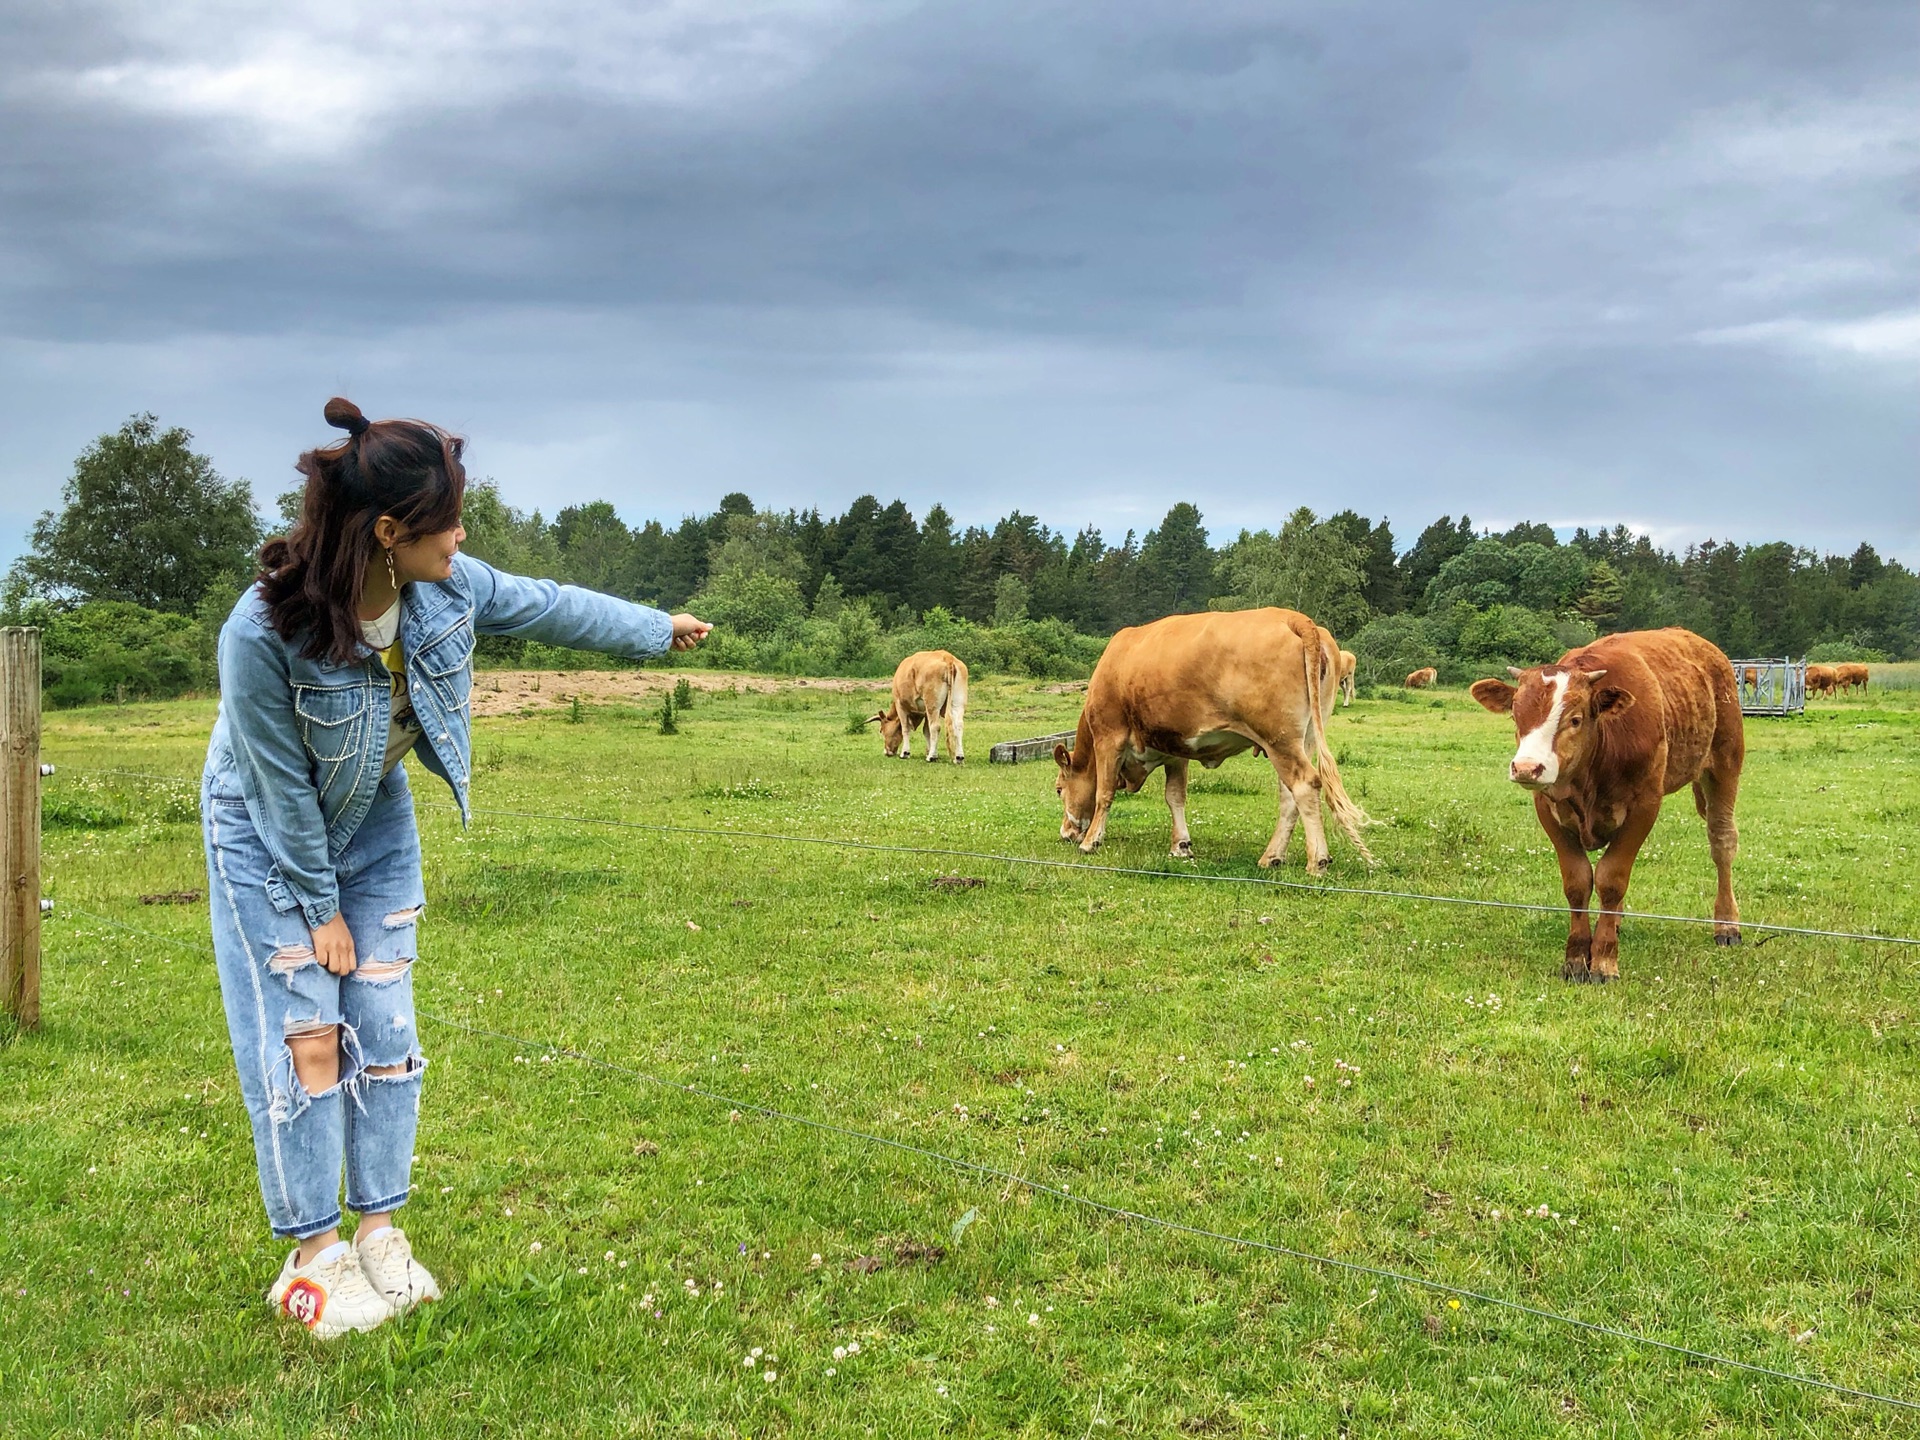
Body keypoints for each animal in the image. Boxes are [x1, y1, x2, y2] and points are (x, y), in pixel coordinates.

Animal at [1052, 606, 1367, 867]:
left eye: (1058, 789)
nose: (1066, 832)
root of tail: (1295, 618)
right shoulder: (1175, 749)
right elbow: (1175, 796)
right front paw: (1181, 845)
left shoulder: (1109, 737)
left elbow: (1104, 792)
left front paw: (1091, 841)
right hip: (1305, 738)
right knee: (1289, 795)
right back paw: (1272, 856)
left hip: (1280, 740)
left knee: (1304, 785)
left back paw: (1317, 861)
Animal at [1466, 625, 1743, 990]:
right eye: (1516, 715)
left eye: (1575, 719)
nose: (1526, 767)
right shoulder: (1547, 807)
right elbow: (1578, 882)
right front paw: (1575, 958)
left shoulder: (1644, 806)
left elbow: (1612, 878)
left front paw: (1603, 960)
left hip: (1725, 762)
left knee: (1722, 841)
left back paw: (1727, 923)